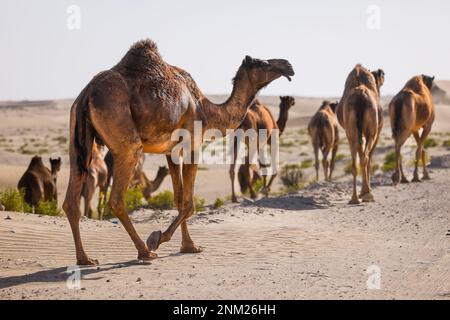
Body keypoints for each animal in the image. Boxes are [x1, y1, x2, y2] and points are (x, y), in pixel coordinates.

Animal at [64, 38, 296, 264]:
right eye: (263, 63)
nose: (288, 65)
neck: (207, 109)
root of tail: (86, 95)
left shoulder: (171, 151)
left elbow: (178, 199)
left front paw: (189, 246)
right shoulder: (192, 145)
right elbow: (189, 203)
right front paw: (157, 239)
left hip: (77, 140)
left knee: (71, 200)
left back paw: (85, 259)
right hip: (126, 140)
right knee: (117, 198)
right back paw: (145, 251)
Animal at [336, 65, 384, 205]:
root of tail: (361, 96)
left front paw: (364, 191)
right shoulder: (377, 133)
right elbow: (369, 159)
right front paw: (366, 191)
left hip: (351, 130)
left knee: (356, 161)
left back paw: (355, 198)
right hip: (371, 132)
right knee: (366, 158)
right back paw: (367, 195)